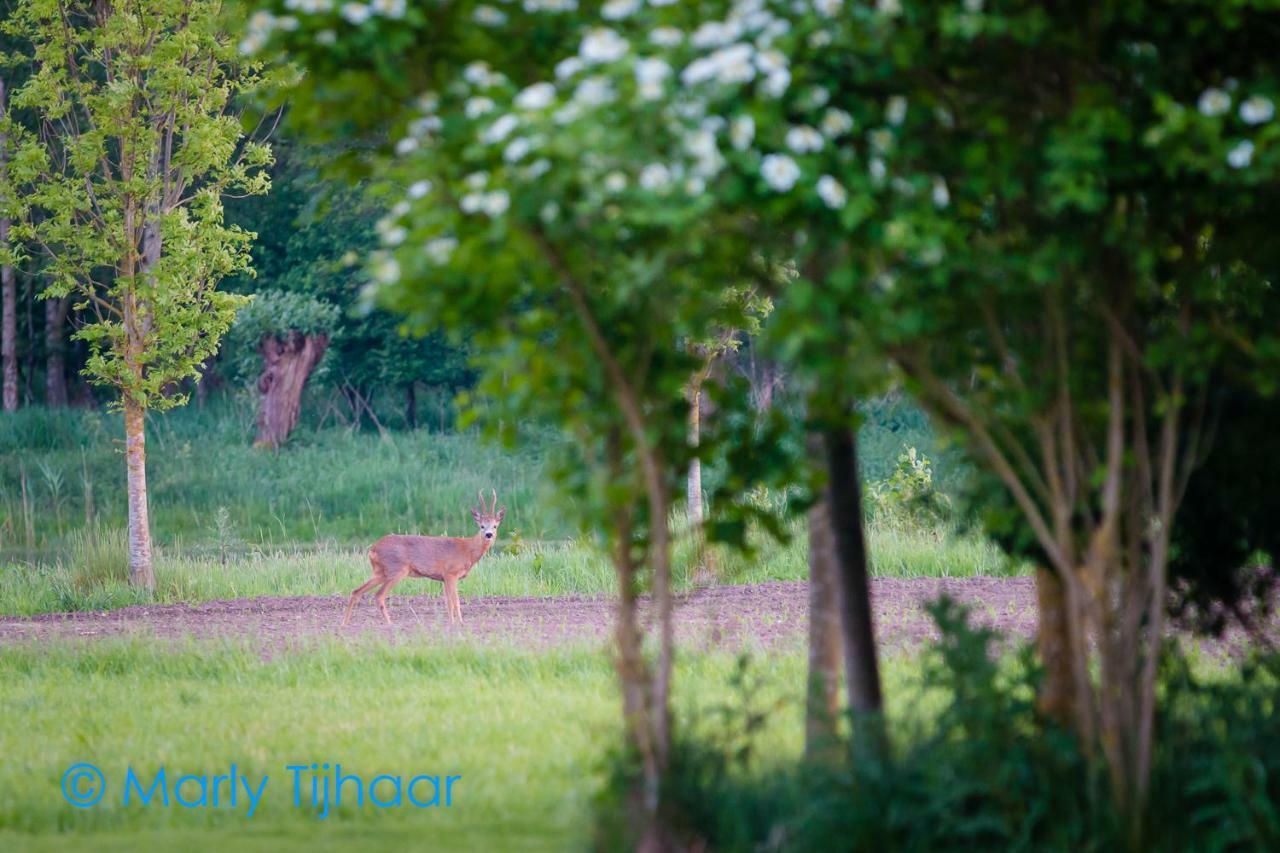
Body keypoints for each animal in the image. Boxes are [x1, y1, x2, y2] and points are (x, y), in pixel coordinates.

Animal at [345, 484, 504, 625]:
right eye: (481, 526)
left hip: (380, 572)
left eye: (495, 526)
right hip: (397, 569)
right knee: (379, 595)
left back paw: (344, 624)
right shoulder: (451, 573)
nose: (489, 534)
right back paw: (390, 624)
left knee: (356, 591)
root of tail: (373, 548)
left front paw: (452, 622)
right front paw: (460, 623)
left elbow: (449, 603)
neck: (468, 550)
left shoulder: (444, 578)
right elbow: (456, 602)